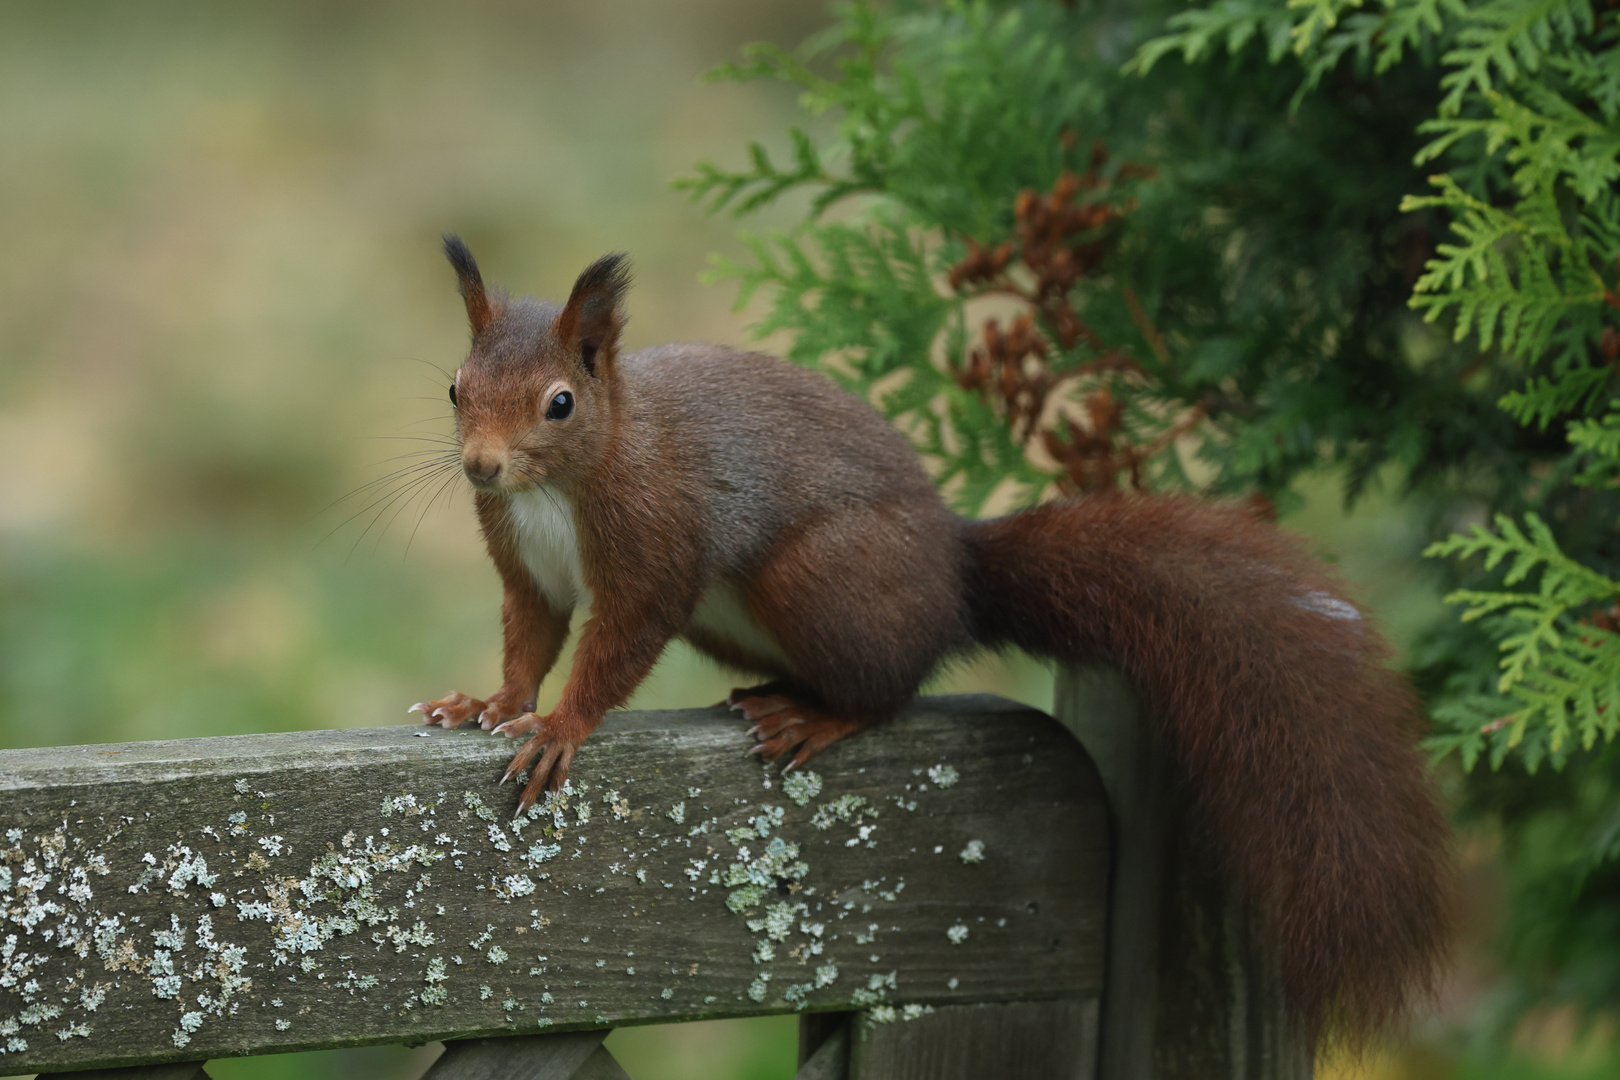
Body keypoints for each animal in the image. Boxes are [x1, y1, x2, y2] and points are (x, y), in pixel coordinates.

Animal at [411, 234, 1451, 1036]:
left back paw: (817, 717)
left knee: (896, 686)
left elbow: (620, 643)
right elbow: (530, 635)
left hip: (821, 580)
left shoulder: (656, 545)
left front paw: (560, 728)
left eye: (559, 402)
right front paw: (490, 702)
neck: (562, 485)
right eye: (456, 388)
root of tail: (956, 578)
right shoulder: (529, 568)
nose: (482, 467)